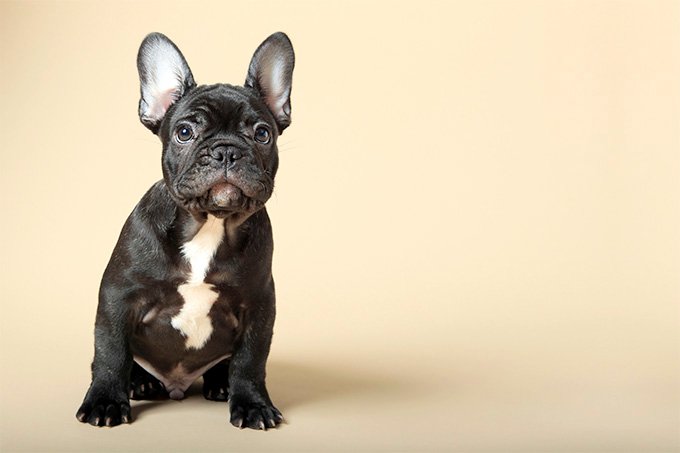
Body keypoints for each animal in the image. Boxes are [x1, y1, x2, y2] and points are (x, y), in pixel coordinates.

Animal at [75, 30, 294, 428]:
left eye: (262, 134)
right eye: (184, 132)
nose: (226, 151)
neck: (209, 222)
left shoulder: (258, 305)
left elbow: (250, 361)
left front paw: (252, 403)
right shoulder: (118, 297)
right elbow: (111, 352)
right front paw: (105, 401)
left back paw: (220, 384)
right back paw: (141, 384)